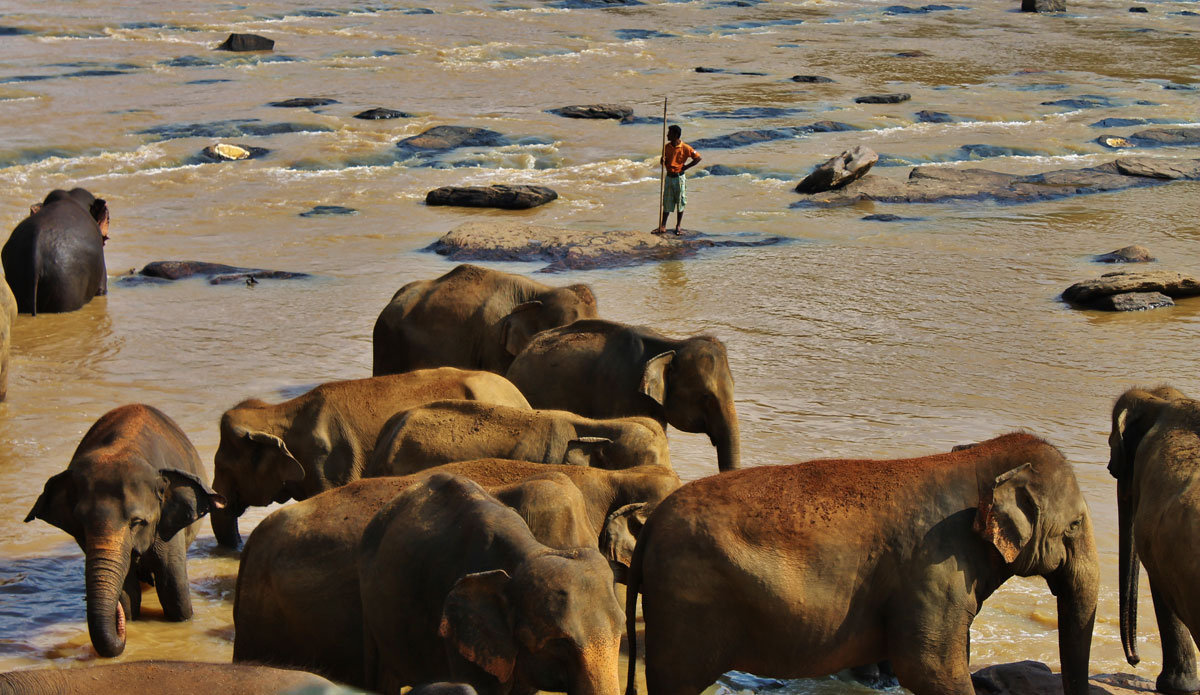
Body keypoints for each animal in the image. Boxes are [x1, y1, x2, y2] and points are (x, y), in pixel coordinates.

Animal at [23, 404, 225, 658]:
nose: (116, 619)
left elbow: (174, 589)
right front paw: (127, 615)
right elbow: (128, 593)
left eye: (137, 522)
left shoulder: (167, 526)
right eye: (81, 524)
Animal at [624, 432, 1098, 695]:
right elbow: (930, 670)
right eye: (1075, 525)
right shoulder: (933, 569)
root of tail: (651, 526)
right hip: (687, 605)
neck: (977, 458)